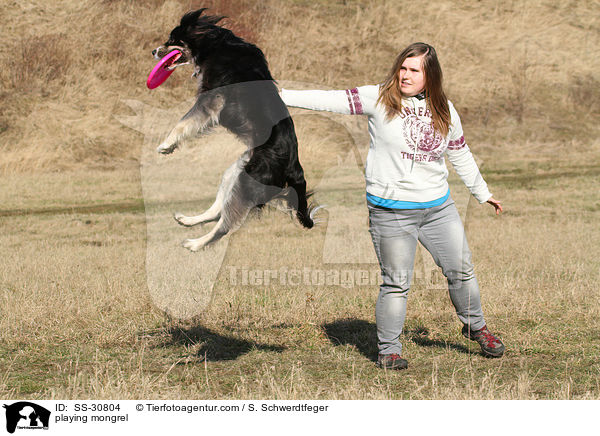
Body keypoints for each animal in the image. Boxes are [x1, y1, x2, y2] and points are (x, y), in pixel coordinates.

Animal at [152, 8, 318, 250]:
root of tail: (293, 167)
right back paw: (188, 220)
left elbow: (183, 122)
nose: (154, 51)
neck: (215, 45)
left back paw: (196, 244)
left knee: (224, 226)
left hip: (247, 183)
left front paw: (166, 145)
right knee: (217, 212)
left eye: (172, 40)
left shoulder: (211, 100)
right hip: (237, 172)